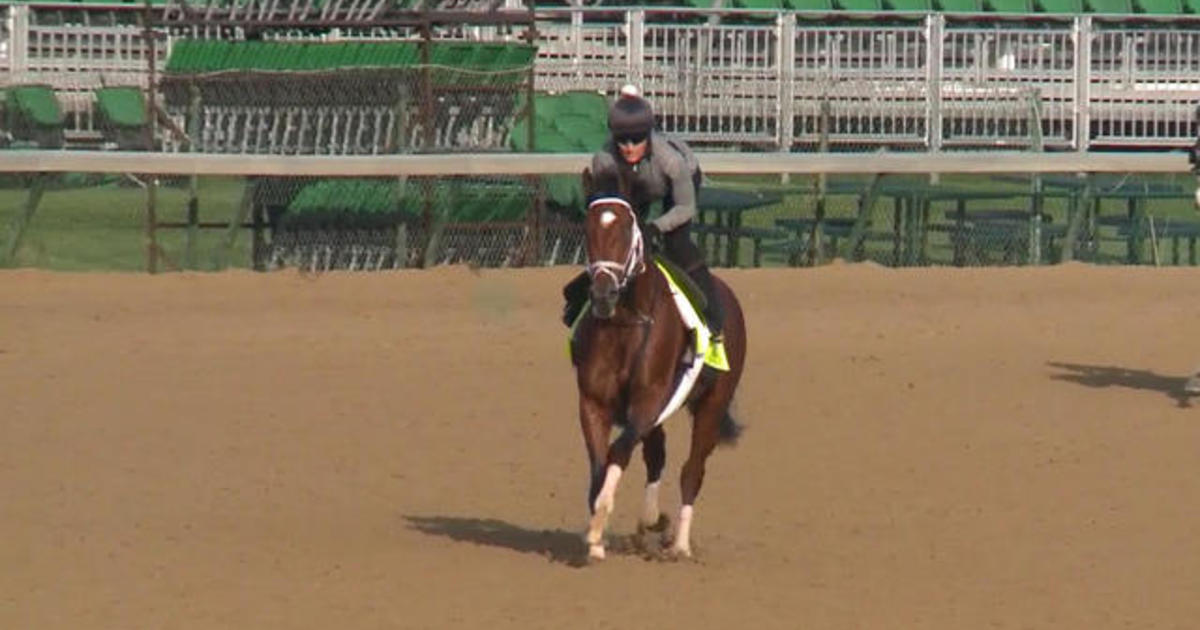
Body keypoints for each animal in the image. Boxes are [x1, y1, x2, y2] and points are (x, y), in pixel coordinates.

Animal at [566, 168, 744, 559]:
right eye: (588, 229)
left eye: (627, 229)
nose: (603, 294)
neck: (625, 322)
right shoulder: (594, 401)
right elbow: (600, 463)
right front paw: (597, 536)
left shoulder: (649, 398)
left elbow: (618, 451)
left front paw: (601, 522)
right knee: (657, 454)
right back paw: (651, 522)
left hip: (712, 403)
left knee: (692, 470)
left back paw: (678, 543)